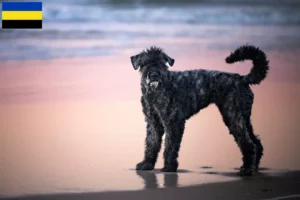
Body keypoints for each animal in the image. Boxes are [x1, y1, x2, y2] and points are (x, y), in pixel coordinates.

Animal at [131, 44, 270, 176]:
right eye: (144, 63)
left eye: (162, 62)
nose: (154, 74)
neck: (156, 92)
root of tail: (242, 79)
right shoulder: (153, 122)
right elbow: (151, 143)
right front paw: (146, 164)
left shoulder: (173, 122)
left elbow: (170, 146)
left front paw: (169, 167)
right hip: (243, 118)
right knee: (256, 143)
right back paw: (253, 167)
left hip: (234, 118)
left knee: (249, 144)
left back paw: (246, 170)